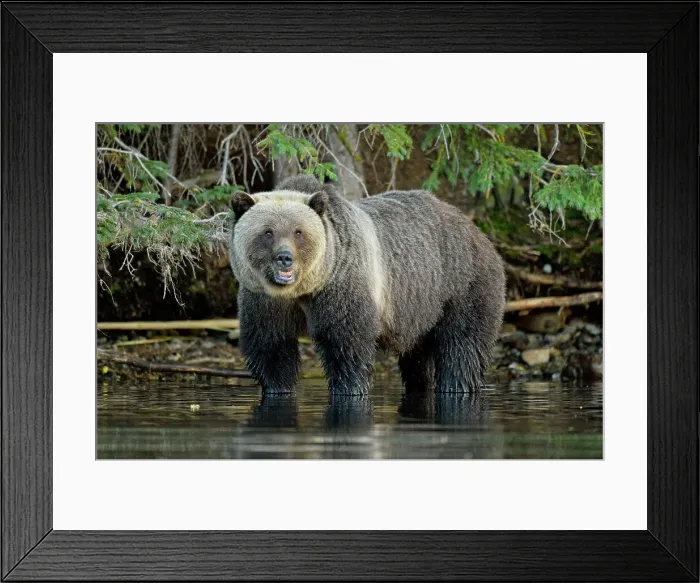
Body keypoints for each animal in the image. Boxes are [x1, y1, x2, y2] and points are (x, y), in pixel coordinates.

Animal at [229, 175, 505, 396]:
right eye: (267, 232)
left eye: (298, 232)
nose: (284, 257)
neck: (303, 289)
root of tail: (476, 230)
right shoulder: (265, 299)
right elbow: (270, 343)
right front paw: (277, 387)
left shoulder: (341, 283)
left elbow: (346, 341)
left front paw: (349, 388)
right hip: (420, 308)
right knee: (418, 355)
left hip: (462, 284)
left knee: (462, 345)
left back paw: (457, 385)